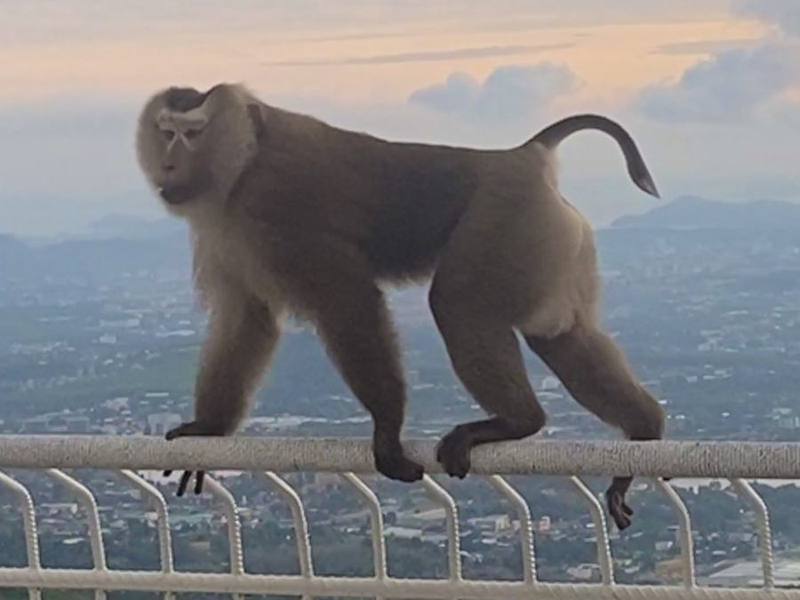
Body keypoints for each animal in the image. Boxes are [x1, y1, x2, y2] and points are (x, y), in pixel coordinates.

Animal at [135, 83, 665, 530]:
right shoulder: (225, 230)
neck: (242, 165)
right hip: (547, 235)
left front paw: (387, 429)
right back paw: (643, 428)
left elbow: (347, 300)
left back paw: (519, 422)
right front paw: (210, 427)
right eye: (166, 133)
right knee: (559, 335)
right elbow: (248, 317)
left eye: (191, 134)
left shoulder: (278, 205)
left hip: (508, 219)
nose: (169, 165)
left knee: (458, 303)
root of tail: (523, 155)